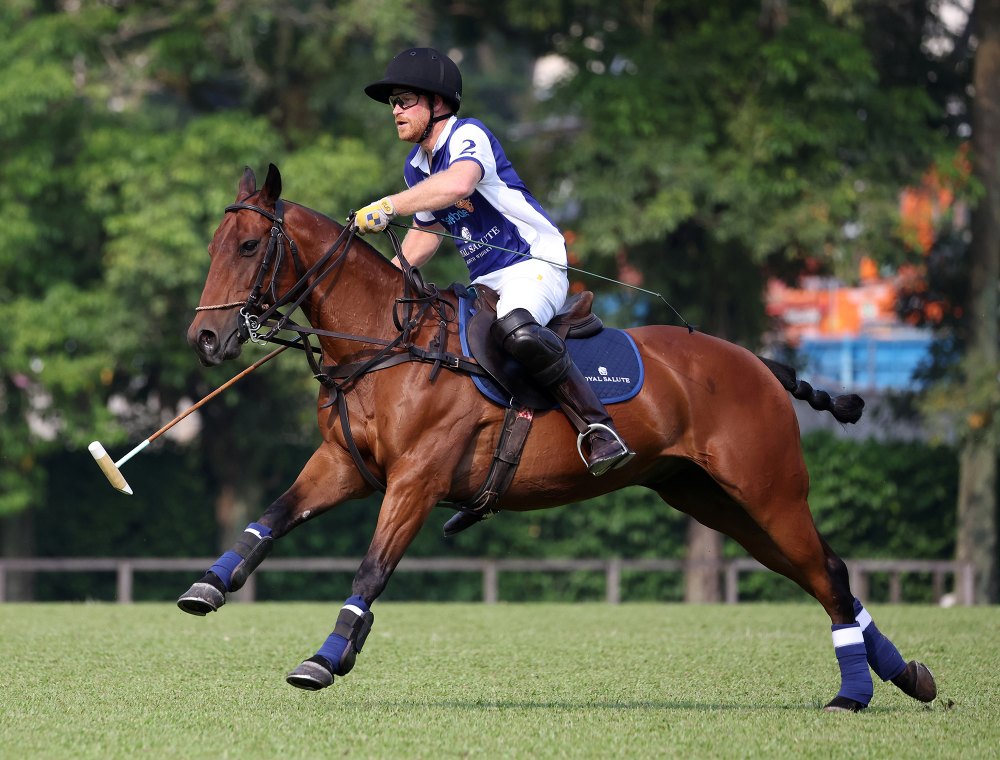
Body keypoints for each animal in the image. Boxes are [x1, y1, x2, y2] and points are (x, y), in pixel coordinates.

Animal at [176, 165, 932, 712]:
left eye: (249, 246)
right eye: (211, 247)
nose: (206, 338)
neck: (384, 345)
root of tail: (758, 363)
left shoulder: (416, 477)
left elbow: (372, 568)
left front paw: (326, 659)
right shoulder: (344, 464)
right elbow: (270, 517)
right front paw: (208, 587)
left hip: (768, 489)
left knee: (828, 572)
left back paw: (855, 694)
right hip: (714, 500)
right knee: (820, 572)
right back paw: (908, 677)